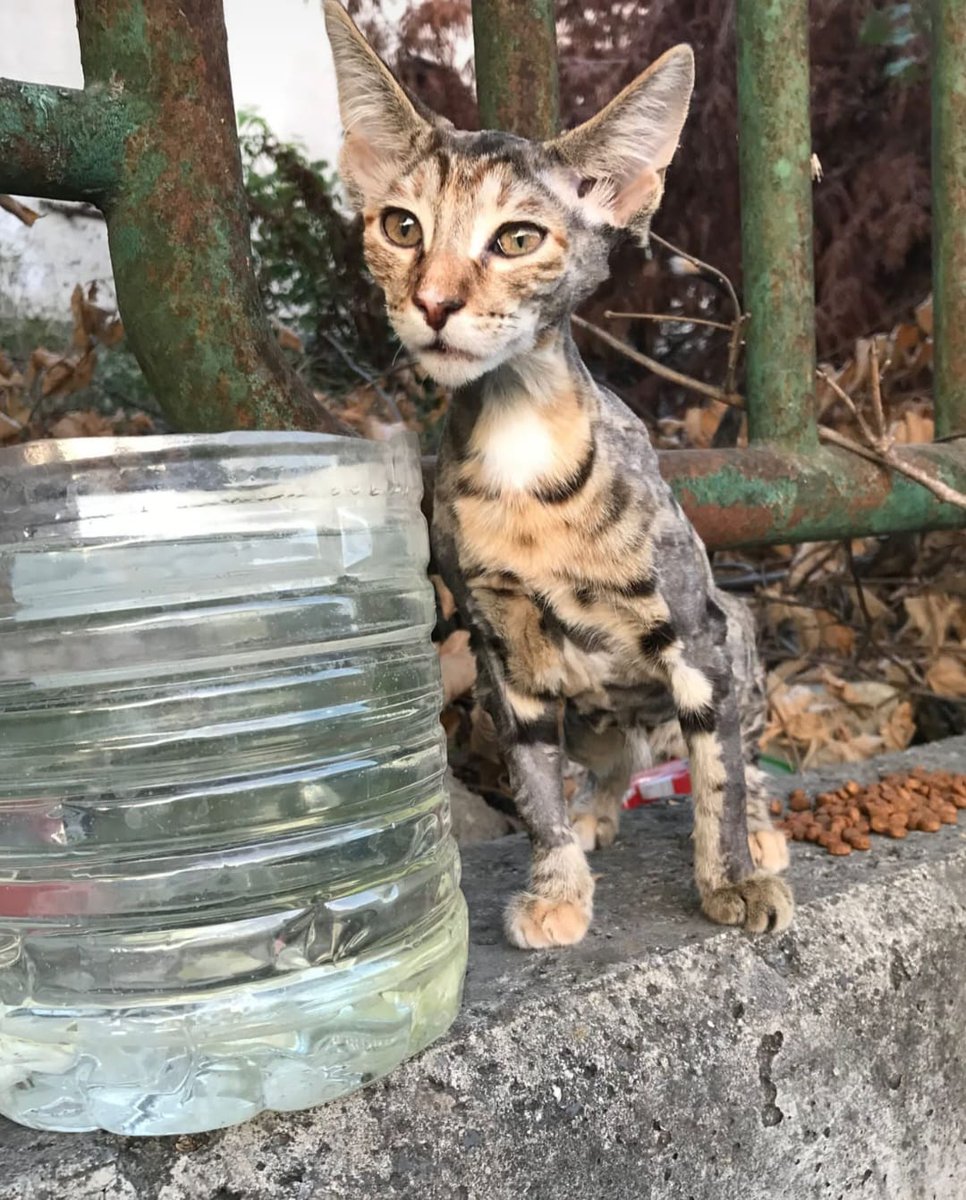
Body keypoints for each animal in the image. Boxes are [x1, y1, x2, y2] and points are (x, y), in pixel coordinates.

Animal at [324, 4, 792, 950]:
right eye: (401, 227)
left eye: (518, 239)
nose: (433, 302)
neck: (523, 447)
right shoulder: (505, 657)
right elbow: (530, 785)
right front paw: (556, 884)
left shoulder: (697, 635)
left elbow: (719, 775)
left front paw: (731, 877)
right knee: (608, 764)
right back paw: (594, 812)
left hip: (738, 631)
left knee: (734, 752)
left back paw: (761, 830)